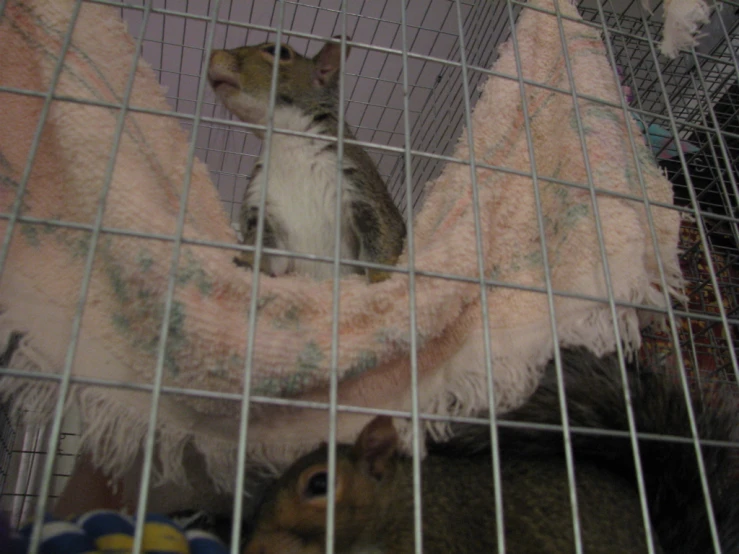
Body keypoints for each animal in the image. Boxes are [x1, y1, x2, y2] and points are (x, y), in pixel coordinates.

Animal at [207, 35, 404, 280]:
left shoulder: (362, 188)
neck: (288, 140)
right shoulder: (259, 202)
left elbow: (382, 247)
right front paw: (248, 263)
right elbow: (268, 254)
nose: (212, 54)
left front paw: (380, 281)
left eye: (279, 52)